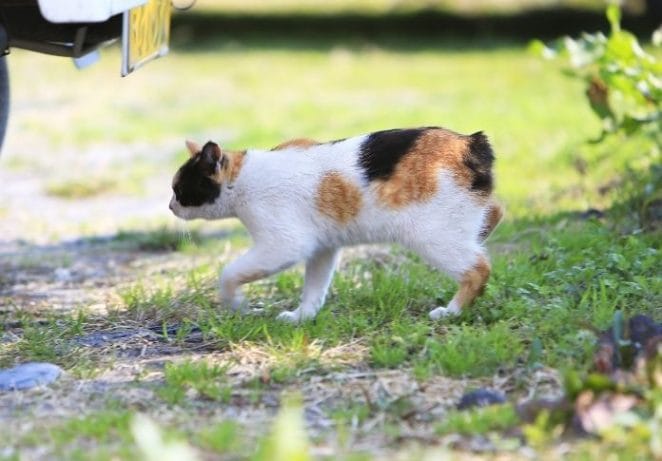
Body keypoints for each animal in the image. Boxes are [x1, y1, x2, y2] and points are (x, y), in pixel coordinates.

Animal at [170, 124, 504, 322]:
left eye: (179, 189)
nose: (170, 205)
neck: (242, 178)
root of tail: (470, 143)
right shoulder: (323, 248)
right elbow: (314, 287)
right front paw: (302, 317)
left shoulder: (284, 244)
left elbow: (229, 273)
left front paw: (234, 302)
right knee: (495, 212)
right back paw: (482, 234)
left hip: (432, 236)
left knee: (478, 269)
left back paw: (452, 311)